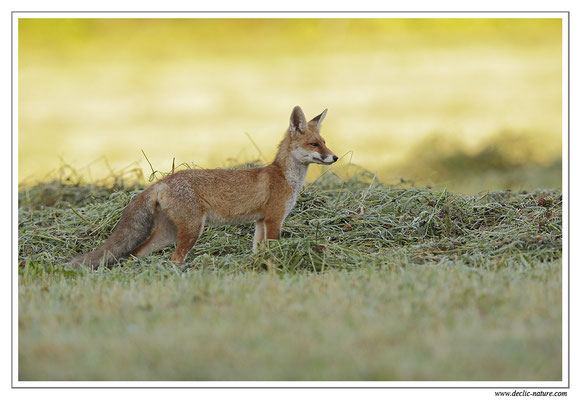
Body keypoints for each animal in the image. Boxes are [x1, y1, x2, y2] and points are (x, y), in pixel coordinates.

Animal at [70, 107, 338, 268]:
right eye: (314, 144)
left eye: (325, 142)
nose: (335, 157)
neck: (283, 176)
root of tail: (161, 181)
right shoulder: (273, 219)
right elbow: (271, 249)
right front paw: (272, 266)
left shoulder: (260, 221)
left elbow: (257, 250)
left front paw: (256, 266)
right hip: (191, 230)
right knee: (174, 258)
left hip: (168, 233)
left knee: (135, 254)